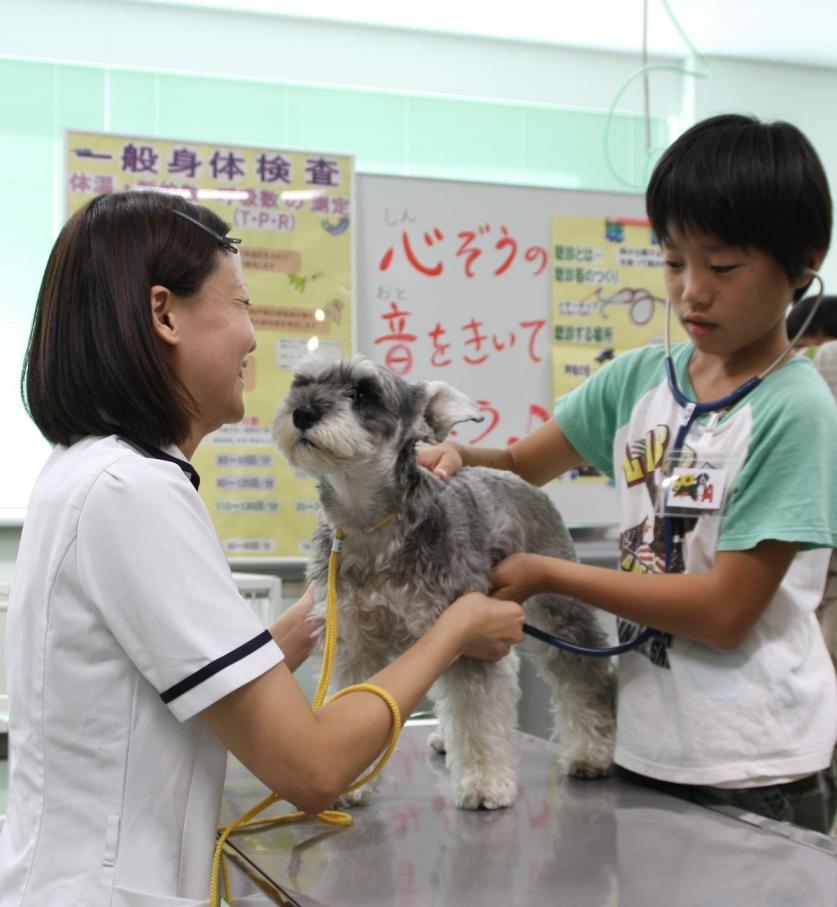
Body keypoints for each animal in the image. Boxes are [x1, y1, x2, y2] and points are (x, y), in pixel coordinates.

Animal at [274, 354, 612, 808]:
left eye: (363, 393)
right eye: (302, 383)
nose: (303, 412)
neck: (370, 528)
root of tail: (519, 480)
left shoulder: (469, 638)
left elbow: (478, 712)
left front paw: (485, 782)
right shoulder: (353, 642)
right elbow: (353, 697)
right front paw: (354, 781)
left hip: (559, 609)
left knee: (585, 675)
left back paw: (591, 753)